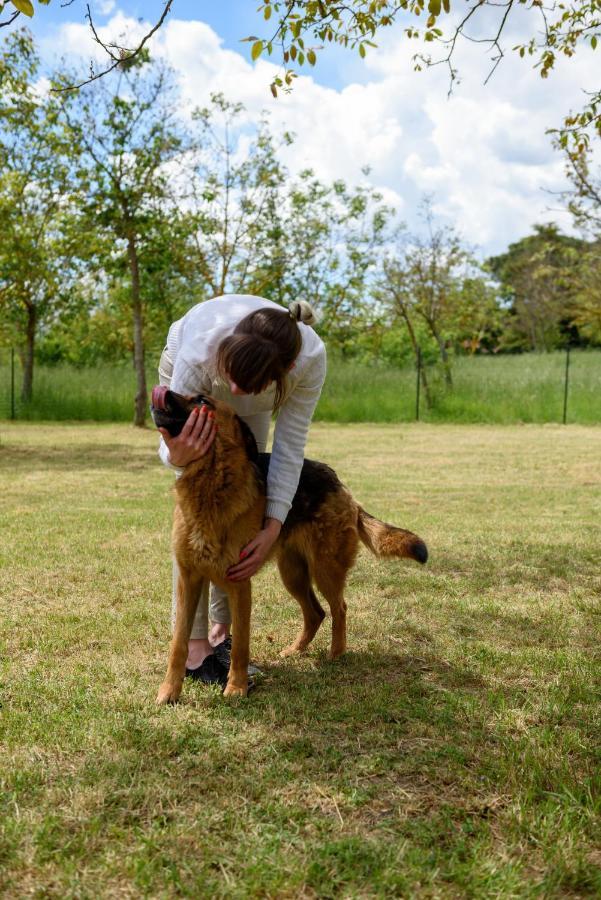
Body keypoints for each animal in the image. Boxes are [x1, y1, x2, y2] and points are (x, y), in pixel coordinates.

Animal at [152, 386, 428, 704]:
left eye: (201, 401)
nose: (163, 391)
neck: (212, 483)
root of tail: (341, 486)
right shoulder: (189, 582)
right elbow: (179, 643)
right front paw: (169, 690)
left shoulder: (239, 585)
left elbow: (240, 645)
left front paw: (236, 687)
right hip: (293, 574)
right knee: (316, 613)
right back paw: (296, 650)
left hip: (324, 570)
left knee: (339, 608)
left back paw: (336, 654)